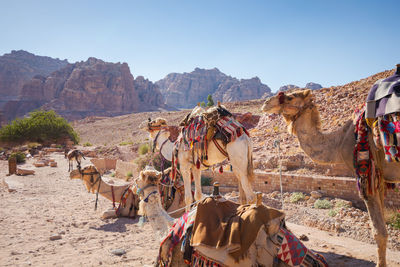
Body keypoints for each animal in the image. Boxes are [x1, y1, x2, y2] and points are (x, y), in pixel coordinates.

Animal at [262, 89, 400, 266]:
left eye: (291, 96)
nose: (266, 103)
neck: (341, 141)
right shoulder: (379, 179)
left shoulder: (367, 174)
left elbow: (379, 232)